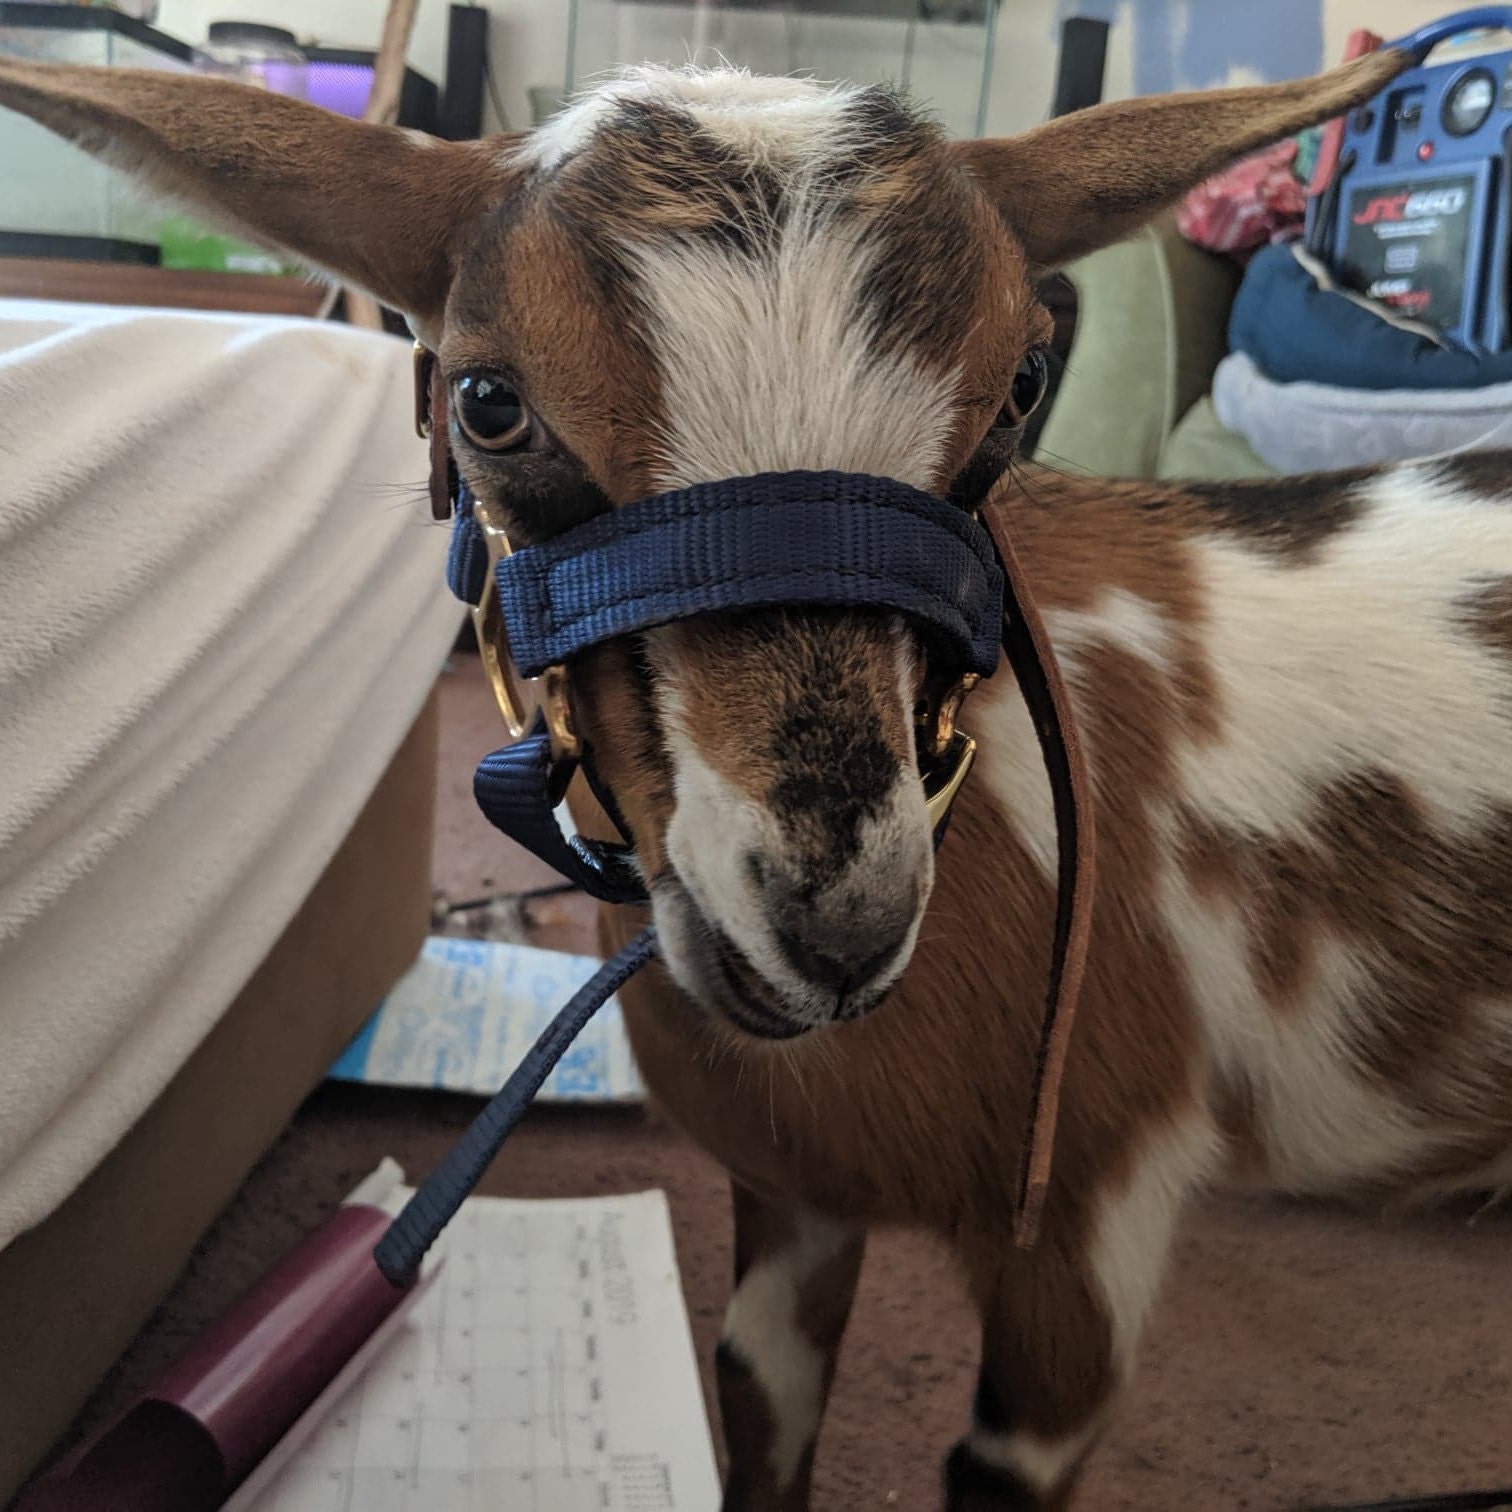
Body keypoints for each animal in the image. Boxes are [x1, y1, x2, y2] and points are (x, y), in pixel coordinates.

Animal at [5, 45, 1509, 1511]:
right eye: (489, 402)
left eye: (1022, 393)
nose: (835, 927)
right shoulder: (792, 1199)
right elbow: (757, 1409)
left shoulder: (1086, 1244)